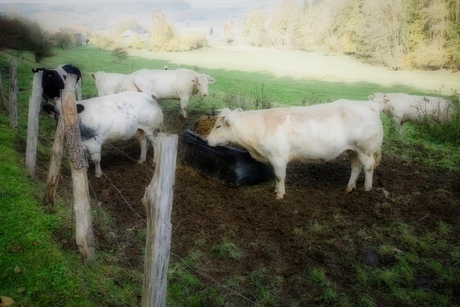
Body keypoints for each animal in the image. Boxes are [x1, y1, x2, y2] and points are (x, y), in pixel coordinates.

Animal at [207, 101, 382, 201]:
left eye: (218, 126)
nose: (207, 140)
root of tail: (369, 106)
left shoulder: (279, 156)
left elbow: (279, 176)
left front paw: (279, 195)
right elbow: (276, 176)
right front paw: (275, 189)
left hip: (365, 149)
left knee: (368, 166)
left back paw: (367, 188)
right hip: (352, 150)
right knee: (356, 167)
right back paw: (349, 187)